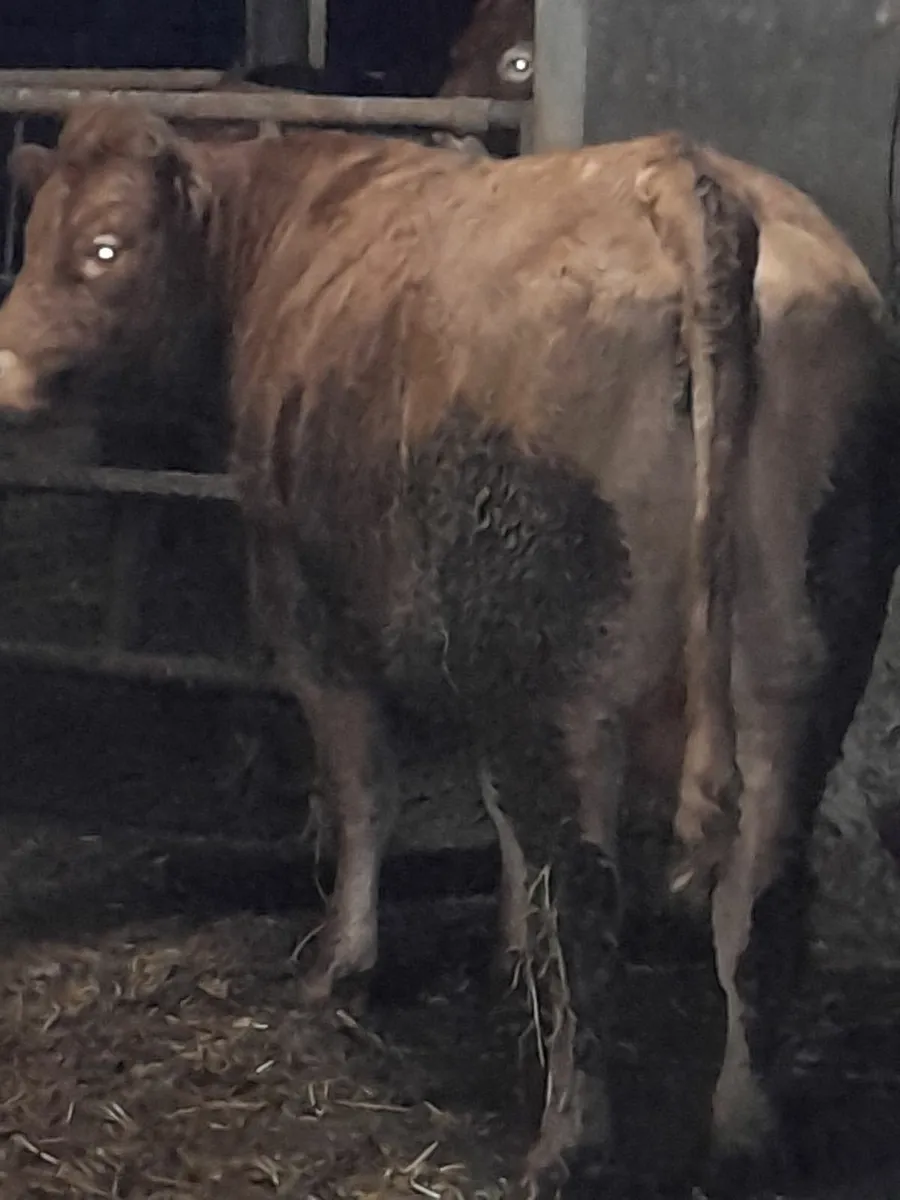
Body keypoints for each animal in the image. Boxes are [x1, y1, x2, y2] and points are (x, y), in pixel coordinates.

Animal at [0, 101, 898, 1199]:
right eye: (34, 236)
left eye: (104, 247)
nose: (4, 369)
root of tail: (684, 181)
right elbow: (501, 824)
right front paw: (505, 952)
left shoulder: (312, 617)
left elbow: (365, 793)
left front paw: (341, 964)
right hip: (797, 671)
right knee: (757, 903)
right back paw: (744, 1136)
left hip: (561, 682)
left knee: (589, 905)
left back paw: (569, 1145)